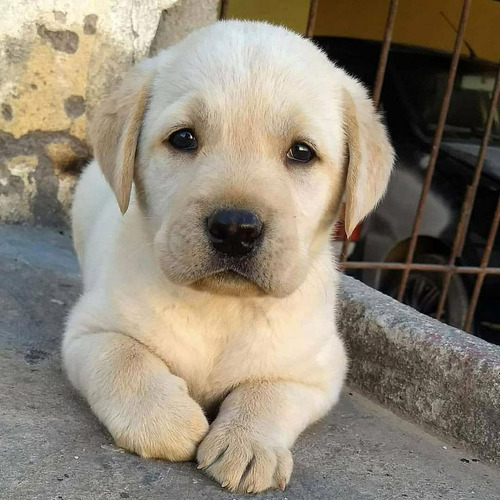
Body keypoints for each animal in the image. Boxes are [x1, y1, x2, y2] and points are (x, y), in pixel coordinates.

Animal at [63, 20, 394, 492]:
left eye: (301, 152)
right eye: (183, 138)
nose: (236, 229)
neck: (221, 306)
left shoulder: (318, 370)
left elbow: (267, 390)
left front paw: (248, 443)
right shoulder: (88, 331)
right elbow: (126, 358)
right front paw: (165, 421)